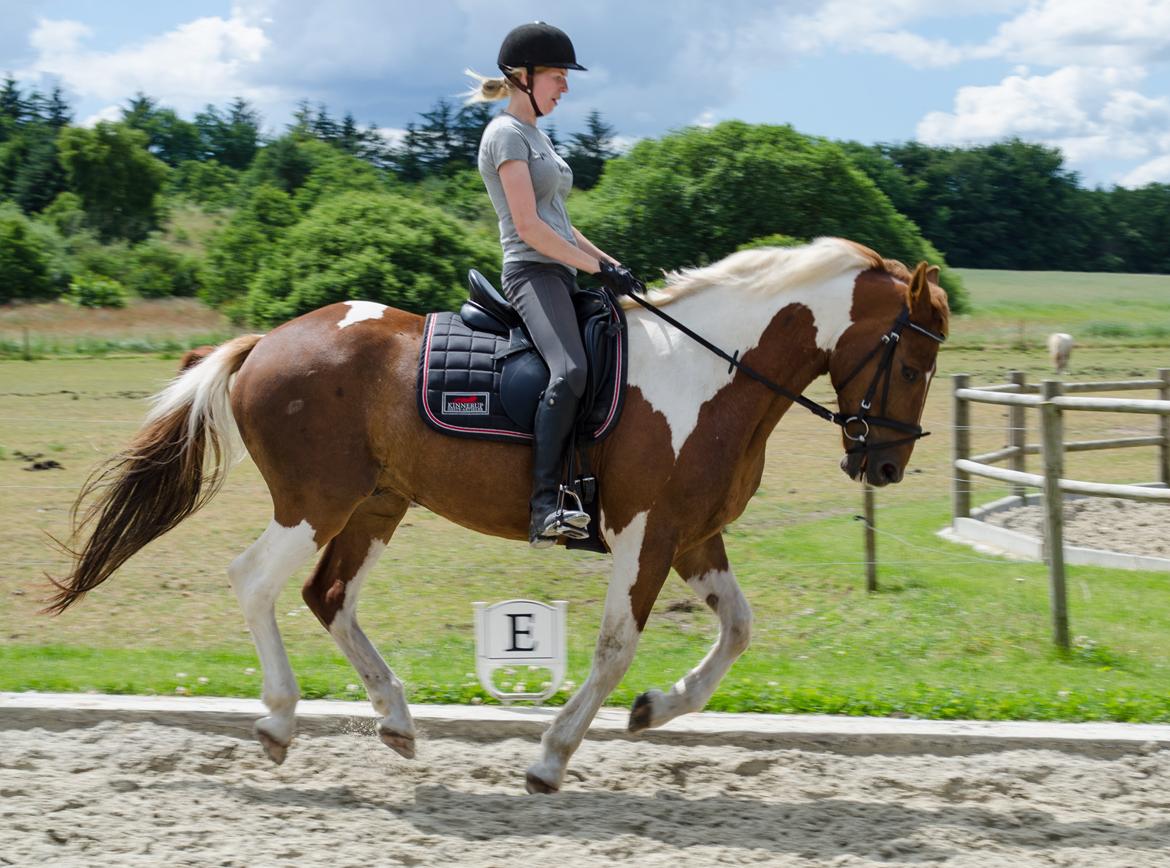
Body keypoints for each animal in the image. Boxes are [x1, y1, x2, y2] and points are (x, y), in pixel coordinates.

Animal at [50, 237, 950, 795]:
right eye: (911, 361)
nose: (885, 466)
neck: (712, 375)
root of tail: (264, 342)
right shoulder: (646, 536)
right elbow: (616, 648)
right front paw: (551, 759)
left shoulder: (694, 536)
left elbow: (737, 631)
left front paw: (655, 710)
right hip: (315, 502)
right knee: (254, 582)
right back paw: (277, 719)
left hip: (377, 505)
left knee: (327, 596)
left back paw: (396, 720)